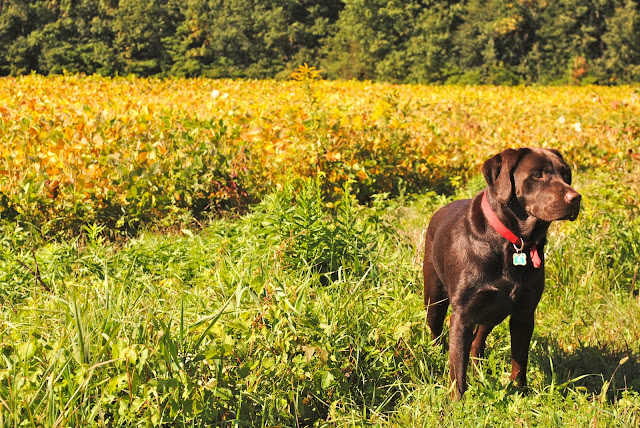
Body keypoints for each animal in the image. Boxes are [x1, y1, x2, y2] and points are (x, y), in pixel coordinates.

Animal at [422, 147, 581, 398]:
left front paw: (520, 393)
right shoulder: (462, 315)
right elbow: (457, 367)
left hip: (495, 311)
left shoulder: (524, 313)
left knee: (477, 342)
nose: (576, 198)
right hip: (435, 299)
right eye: (537, 175)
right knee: (436, 332)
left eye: (566, 174)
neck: (513, 243)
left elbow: (520, 360)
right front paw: (457, 402)